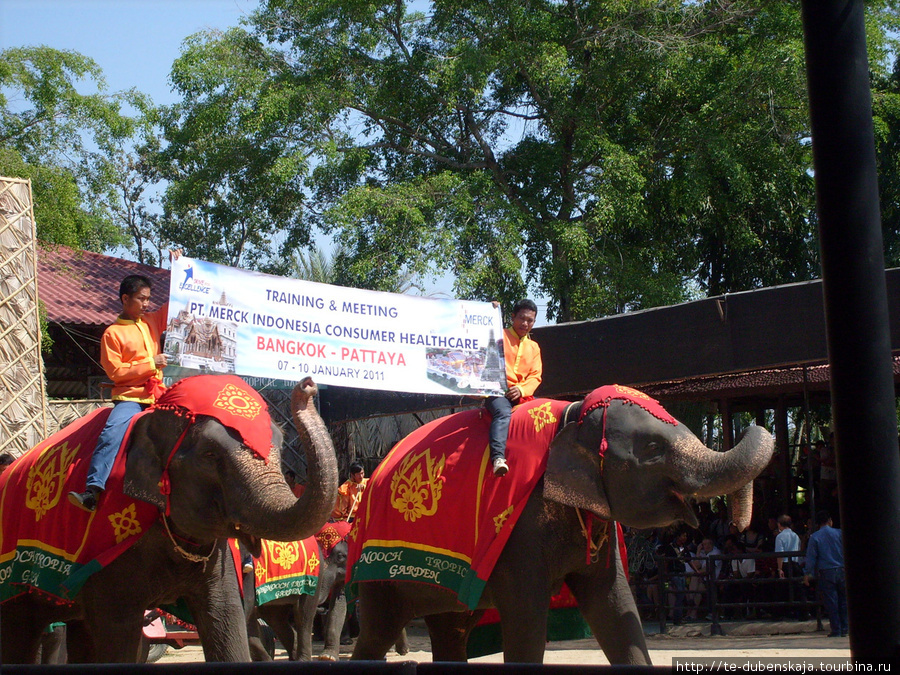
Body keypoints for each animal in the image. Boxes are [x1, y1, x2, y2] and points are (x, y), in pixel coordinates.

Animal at [0, 374, 338, 664]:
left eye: (280, 447)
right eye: (210, 456)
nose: (307, 386)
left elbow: (226, 619)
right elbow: (118, 631)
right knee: (20, 632)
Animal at [348, 386, 776, 664]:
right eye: (654, 448)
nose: (750, 420)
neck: (572, 418)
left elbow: (616, 609)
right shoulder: (517, 534)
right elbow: (527, 623)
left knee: (451, 633)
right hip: (376, 566)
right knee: (377, 632)